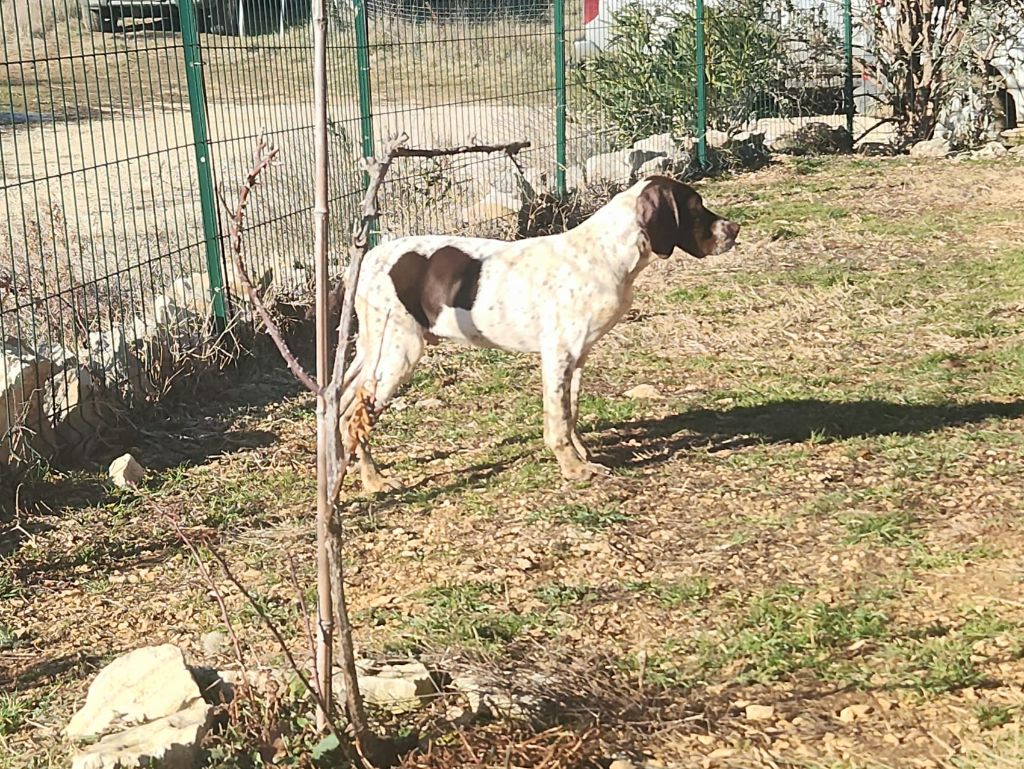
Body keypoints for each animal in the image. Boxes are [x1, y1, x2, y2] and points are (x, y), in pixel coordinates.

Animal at [339, 174, 741, 489]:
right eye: (695, 207)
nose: (735, 230)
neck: (605, 253)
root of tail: (367, 260)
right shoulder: (558, 354)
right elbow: (557, 421)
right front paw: (574, 468)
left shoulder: (579, 356)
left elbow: (571, 412)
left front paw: (582, 455)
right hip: (399, 353)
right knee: (353, 419)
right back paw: (374, 481)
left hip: (373, 353)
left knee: (341, 407)